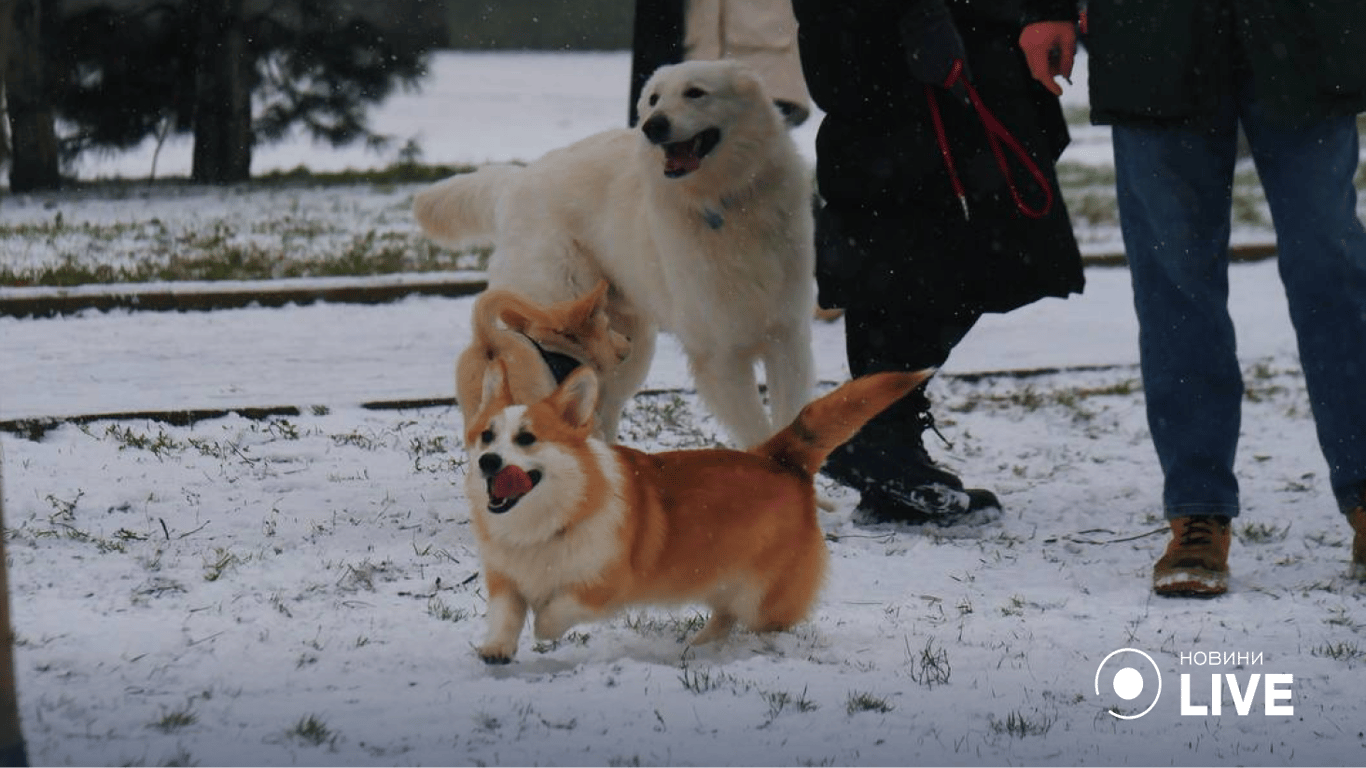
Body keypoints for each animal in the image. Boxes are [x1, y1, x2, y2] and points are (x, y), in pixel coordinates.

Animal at [412, 59, 808, 445]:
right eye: (653, 99)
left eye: (695, 93)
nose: (652, 126)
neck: (726, 204)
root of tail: (518, 180)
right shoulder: (719, 354)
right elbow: (759, 433)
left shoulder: (786, 336)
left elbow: (790, 416)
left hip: (627, 346)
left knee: (605, 406)